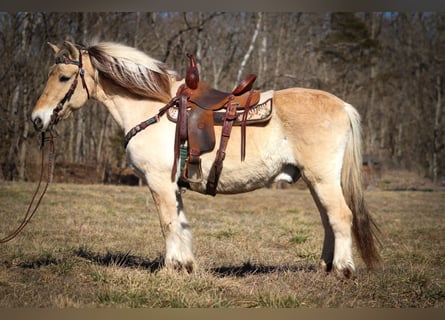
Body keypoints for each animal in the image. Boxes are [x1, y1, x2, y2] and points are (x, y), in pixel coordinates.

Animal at [30, 40, 378, 278]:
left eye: (63, 78)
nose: (37, 119)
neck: (151, 110)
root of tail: (342, 105)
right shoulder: (173, 184)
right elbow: (181, 223)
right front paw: (185, 265)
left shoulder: (159, 182)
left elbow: (168, 223)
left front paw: (169, 268)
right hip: (315, 180)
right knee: (328, 219)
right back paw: (325, 265)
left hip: (322, 178)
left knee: (341, 216)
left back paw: (343, 269)